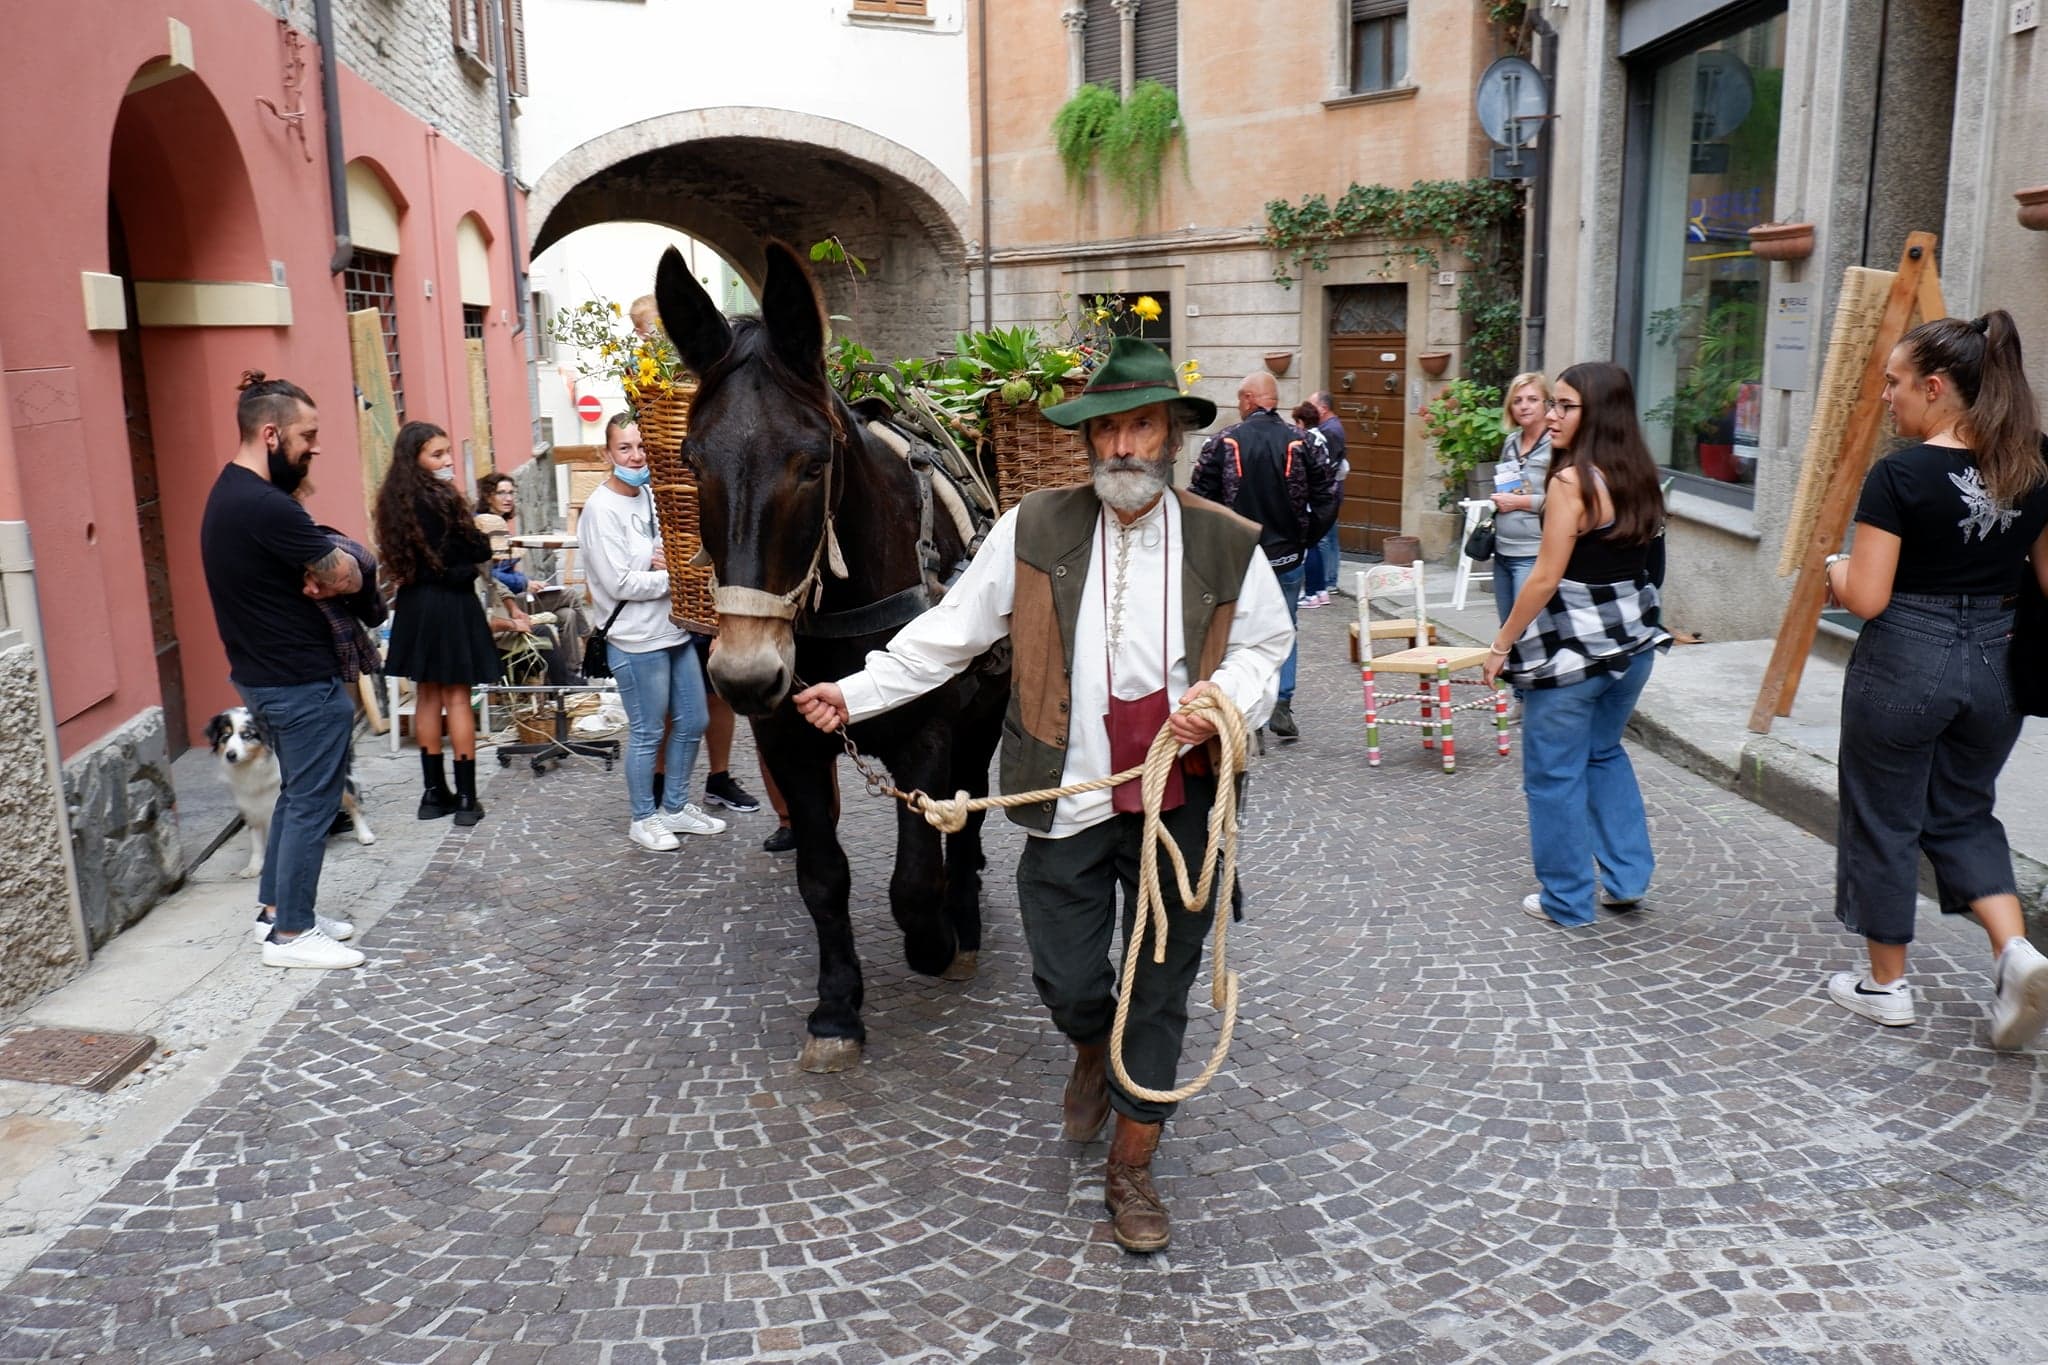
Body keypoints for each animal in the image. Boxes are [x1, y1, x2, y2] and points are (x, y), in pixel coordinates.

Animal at [203, 703, 376, 875]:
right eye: (225, 736)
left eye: (246, 735)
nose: (230, 755)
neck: (255, 766)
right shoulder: (250, 803)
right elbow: (256, 839)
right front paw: (254, 867)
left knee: (353, 804)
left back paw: (365, 835)